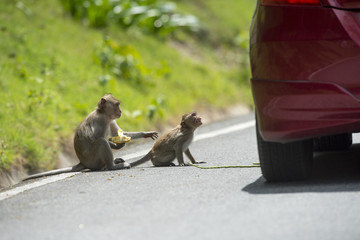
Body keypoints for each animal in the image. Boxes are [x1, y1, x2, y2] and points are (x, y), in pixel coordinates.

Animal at [22, 94, 158, 180]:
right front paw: (117, 145)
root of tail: (82, 162)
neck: (103, 113)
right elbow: (97, 139)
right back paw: (112, 166)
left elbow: (121, 133)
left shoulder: (110, 120)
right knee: (102, 142)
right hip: (93, 160)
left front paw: (146, 134)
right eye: (117, 105)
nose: (121, 111)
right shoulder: (101, 121)